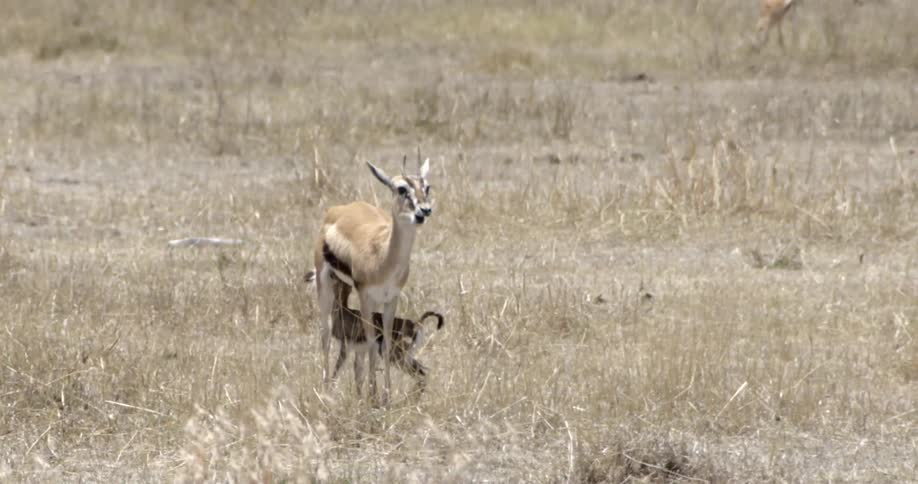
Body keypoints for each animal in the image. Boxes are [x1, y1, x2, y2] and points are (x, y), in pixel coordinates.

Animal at [313, 156, 433, 404]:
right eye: (401, 188)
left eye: (427, 187)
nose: (424, 211)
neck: (383, 258)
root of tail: (340, 209)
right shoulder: (365, 296)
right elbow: (369, 342)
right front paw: (373, 396)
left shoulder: (391, 298)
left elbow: (384, 342)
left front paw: (384, 397)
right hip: (325, 283)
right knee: (325, 334)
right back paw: (325, 389)